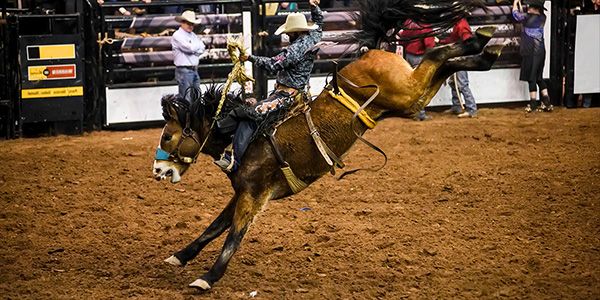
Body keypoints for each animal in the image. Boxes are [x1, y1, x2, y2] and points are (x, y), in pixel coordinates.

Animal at [152, 0, 504, 290]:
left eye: (167, 136)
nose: (158, 170)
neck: (242, 137)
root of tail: (368, 52)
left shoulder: (254, 195)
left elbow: (233, 237)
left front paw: (207, 278)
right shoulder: (242, 192)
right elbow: (213, 228)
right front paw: (179, 256)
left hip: (405, 90)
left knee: (435, 56)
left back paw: (482, 41)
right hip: (408, 99)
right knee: (441, 67)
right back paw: (485, 49)